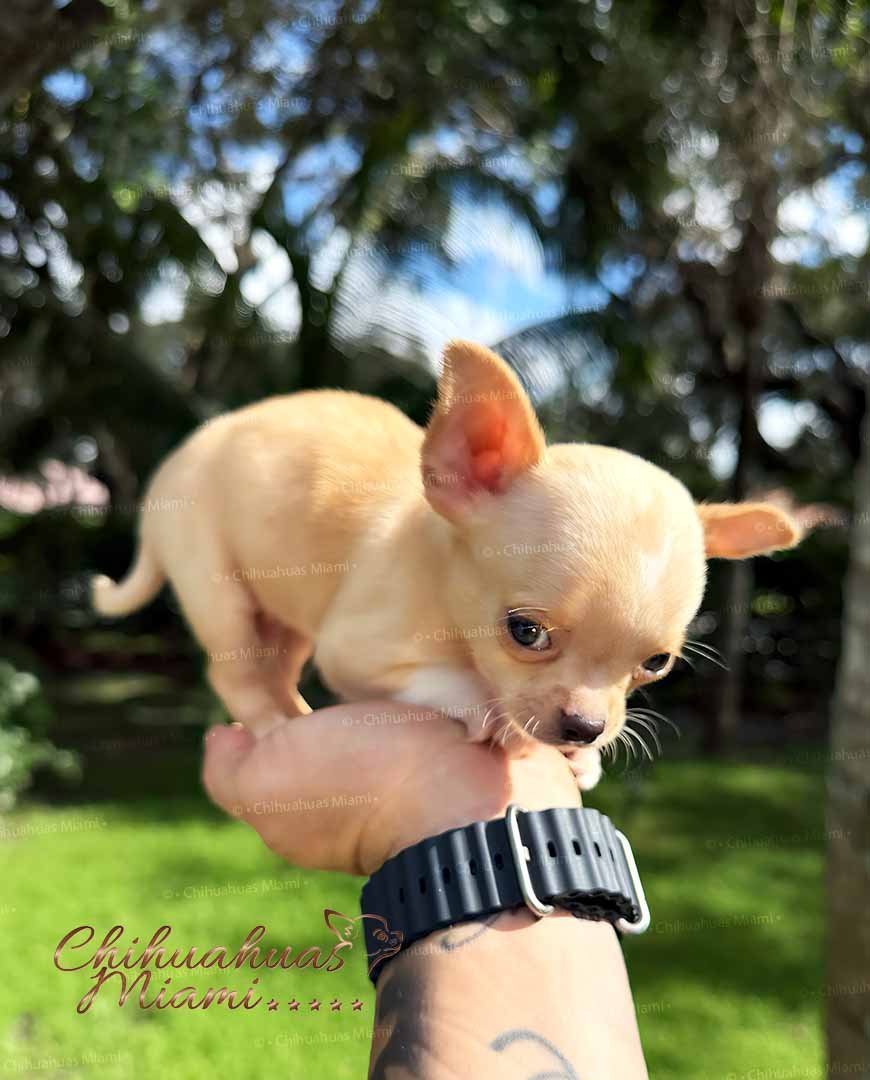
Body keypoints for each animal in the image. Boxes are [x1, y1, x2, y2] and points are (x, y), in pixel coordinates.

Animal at [92, 340, 809, 789]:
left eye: (655, 665)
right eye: (525, 632)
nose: (583, 729)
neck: (439, 570)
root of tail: (171, 470)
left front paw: (581, 763)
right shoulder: (356, 654)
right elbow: (445, 681)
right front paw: (484, 707)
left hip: (286, 615)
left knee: (277, 663)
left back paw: (292, 709)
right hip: (217, 585)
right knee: (234, 668)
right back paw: (273, 723)